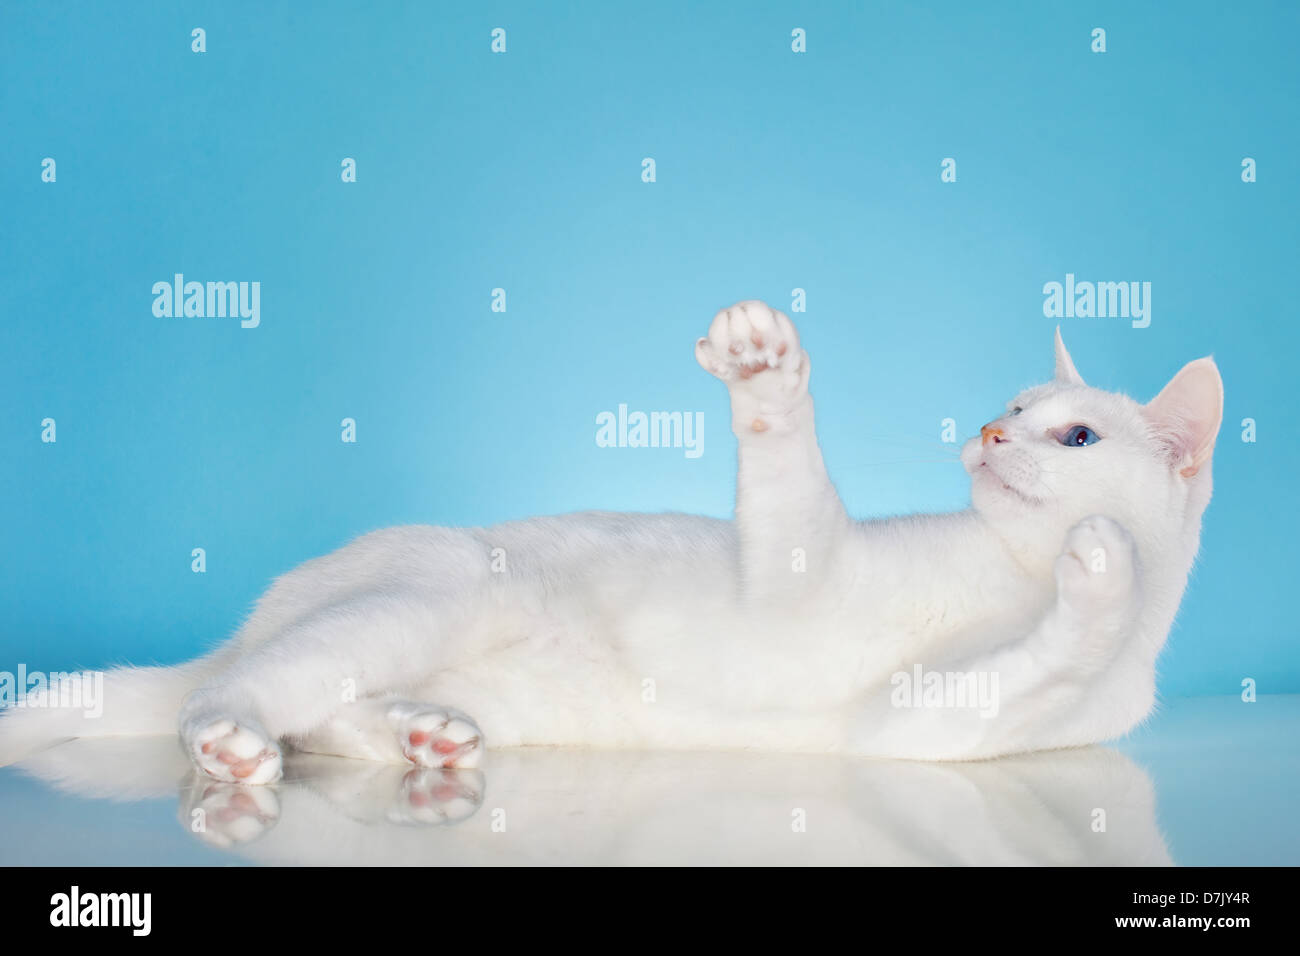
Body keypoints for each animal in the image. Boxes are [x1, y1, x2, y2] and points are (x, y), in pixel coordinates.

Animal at [0, 300, 1222, 785]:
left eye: (1071, 433)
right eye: (1008, 406)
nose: (988, 433)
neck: (999, 570)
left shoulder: (933, 724)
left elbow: (1056, 651)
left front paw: (1101, 572)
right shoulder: (800, 575)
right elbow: (790, 467)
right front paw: (764, 368)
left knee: (323, 715)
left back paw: (422, 736)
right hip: (426, 594)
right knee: (253, 693)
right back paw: (237, 739)